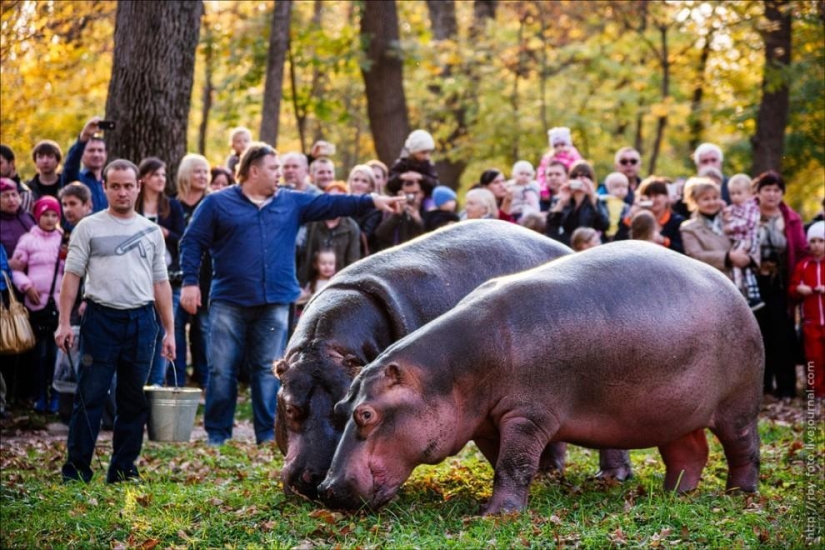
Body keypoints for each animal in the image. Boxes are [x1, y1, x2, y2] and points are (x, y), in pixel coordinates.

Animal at [318, 244, 764, 516]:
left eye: (366, 415)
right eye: (340, 407)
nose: (327, 488)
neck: (447, 372)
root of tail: (728, 284)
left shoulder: (526, 416)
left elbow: (513, 464)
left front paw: (495, 516)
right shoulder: (487, 422)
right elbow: (502, 463)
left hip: (738, 405)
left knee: (744, 446)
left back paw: (739, 492)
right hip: (674, 412)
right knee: (689, 451)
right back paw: (674, 493)